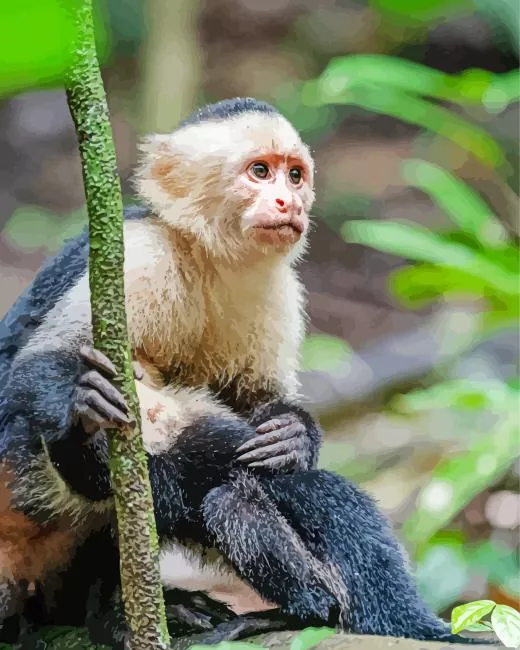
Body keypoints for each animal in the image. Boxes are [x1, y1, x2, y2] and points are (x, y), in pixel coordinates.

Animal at [0, 97, 491, 647]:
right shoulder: (138, 257)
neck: (206, 257)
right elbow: (32, 368)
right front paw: (79, 399)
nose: (288, 202)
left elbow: (258, 406)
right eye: (260, 172)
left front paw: (294, 434)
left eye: (294, 175)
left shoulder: (276, 288)